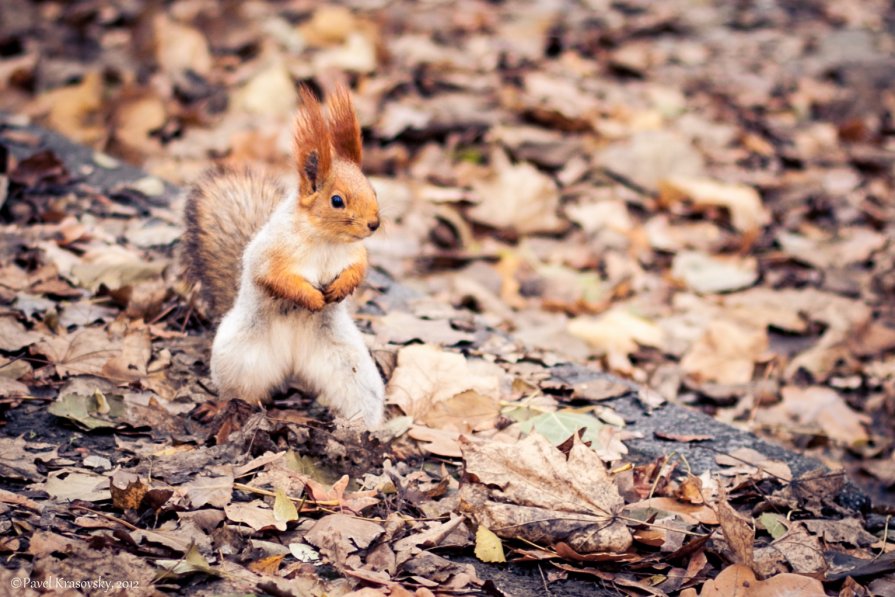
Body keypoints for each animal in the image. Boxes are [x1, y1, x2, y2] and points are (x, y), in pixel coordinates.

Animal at [184, 85, 386, 428]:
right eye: (337, 201)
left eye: (374, 191)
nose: (374, 224)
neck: (326, 241)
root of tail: (293, 364)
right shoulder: (271, 254)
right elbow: (276, 278)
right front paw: (311, 298)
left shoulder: (355, 252)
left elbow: (357, 268)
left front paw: (342, 286)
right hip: (239, 357)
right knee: (239, 390)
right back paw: (223, 407)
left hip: (350, 368)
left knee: (359, 397)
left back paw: (361, 428)